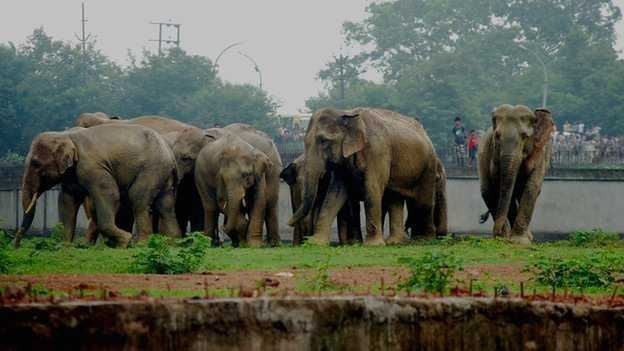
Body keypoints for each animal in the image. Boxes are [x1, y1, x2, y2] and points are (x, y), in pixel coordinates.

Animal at [15, 125, 180, 249]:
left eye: (36, 164)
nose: (16, 246)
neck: (66, 135)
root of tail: (170, 154)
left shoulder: (93, 168)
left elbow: (110, 194)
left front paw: (125, 241)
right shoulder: (71, 175)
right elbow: (66, 202)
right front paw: (64, 247)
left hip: (151, 170)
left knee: (138, 200)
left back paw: (142, 245)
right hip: (163, 175)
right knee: (166, 206)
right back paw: (172, 244)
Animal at [288, 108, 438, 248]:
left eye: (323, 141)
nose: (288, 223)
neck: (347, 113)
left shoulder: (378, 151)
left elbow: (372, 189)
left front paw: (373, 245)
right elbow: (334, 193)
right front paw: (315, 243)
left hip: (428, 165)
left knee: (423, 200)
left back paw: (423, 240)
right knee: (395, 198)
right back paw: (395, 242)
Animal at [478, 104, 556, 245]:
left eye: (525, 136)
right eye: (497, 135)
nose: (497, 232)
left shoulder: (540, 154)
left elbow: (531, 187)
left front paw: (521, 241)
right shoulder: (493, 155)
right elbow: (500, 188)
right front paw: (508, 238)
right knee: (487, 191)